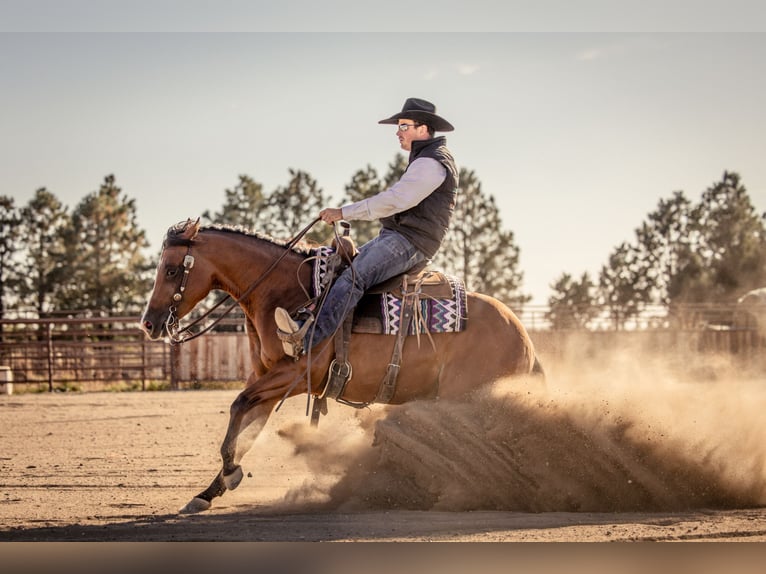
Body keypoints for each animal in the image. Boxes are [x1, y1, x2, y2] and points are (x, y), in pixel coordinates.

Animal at [140, 219, 544, 512]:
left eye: (172, 270)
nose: (149, 323)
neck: (283, 292)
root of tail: (522, 335)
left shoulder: (294, 375)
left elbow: (238, 409)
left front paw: (229, 474)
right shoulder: (265, 380)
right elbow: (246, 430)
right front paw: (209, 491)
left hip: (469, 397)